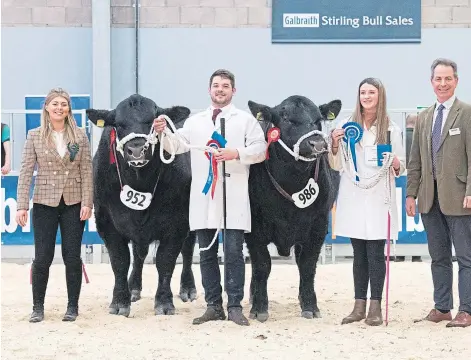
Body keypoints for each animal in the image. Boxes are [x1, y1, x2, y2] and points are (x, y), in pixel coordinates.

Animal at [86, 94, 197, 316]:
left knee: (188, 250)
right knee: (139, 254)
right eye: (118, 124)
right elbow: (120, 261)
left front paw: (164, 303)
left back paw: (188, 289)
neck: (140, 180)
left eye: (152, 121)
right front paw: (120, 302)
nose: (136, 149)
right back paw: (134, 288)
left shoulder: (178, 224)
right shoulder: (106, 222)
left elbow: (165, 261)